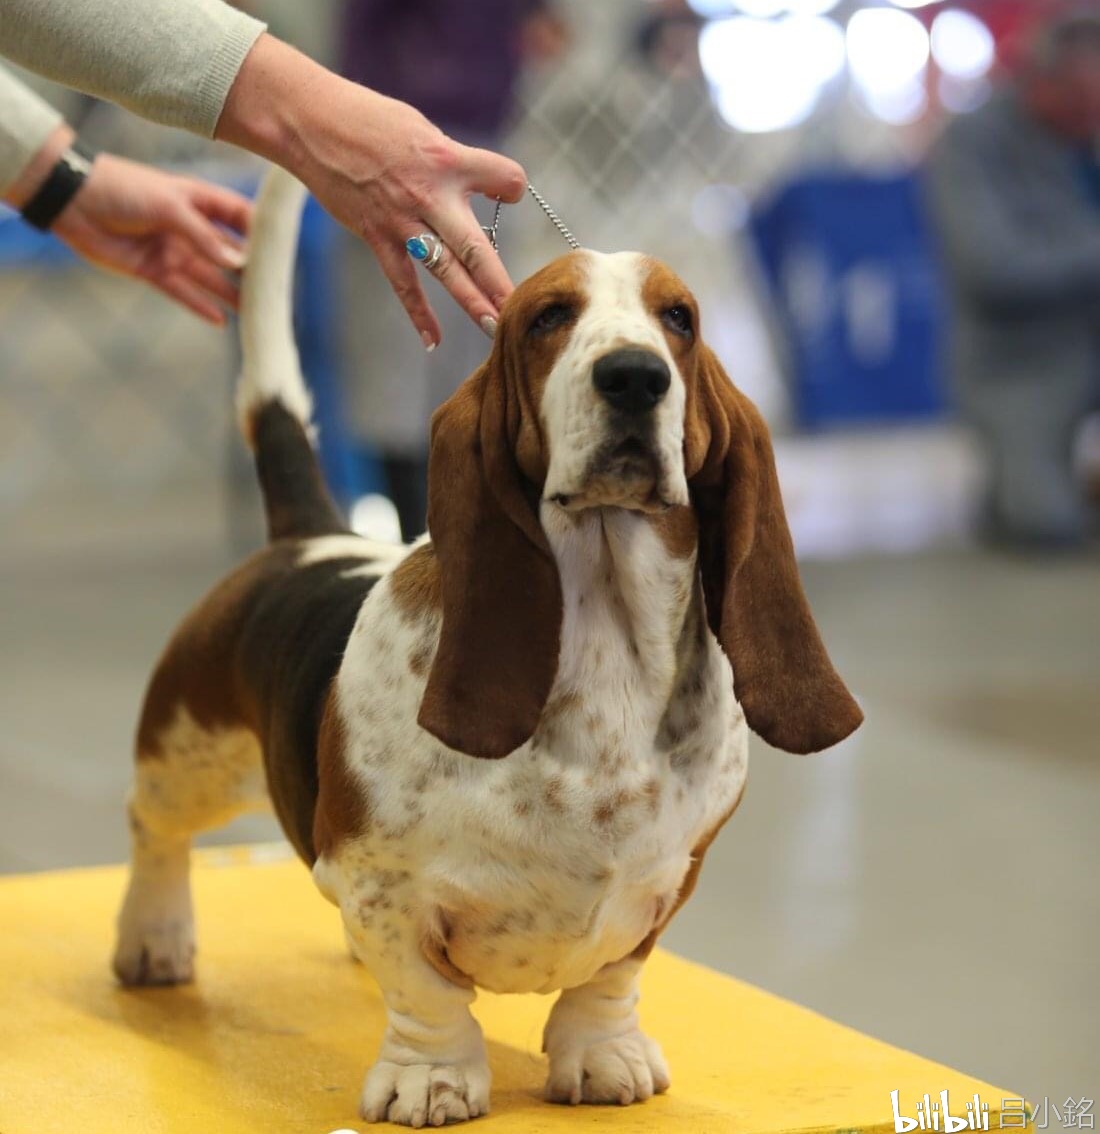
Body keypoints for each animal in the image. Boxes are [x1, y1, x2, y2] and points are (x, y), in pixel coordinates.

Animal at [113, 167, 866, 1124]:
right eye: (547, 317)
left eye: (681, 318)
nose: (635, 376)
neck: (605, 646)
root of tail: (313, 535)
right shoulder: (380, 882)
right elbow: (427, 994)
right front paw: (431, 1078)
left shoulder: (669, 879)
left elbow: (612, 978)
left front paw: (604, 1056)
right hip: (186, 751)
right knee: (155, 832)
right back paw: (153, 938)